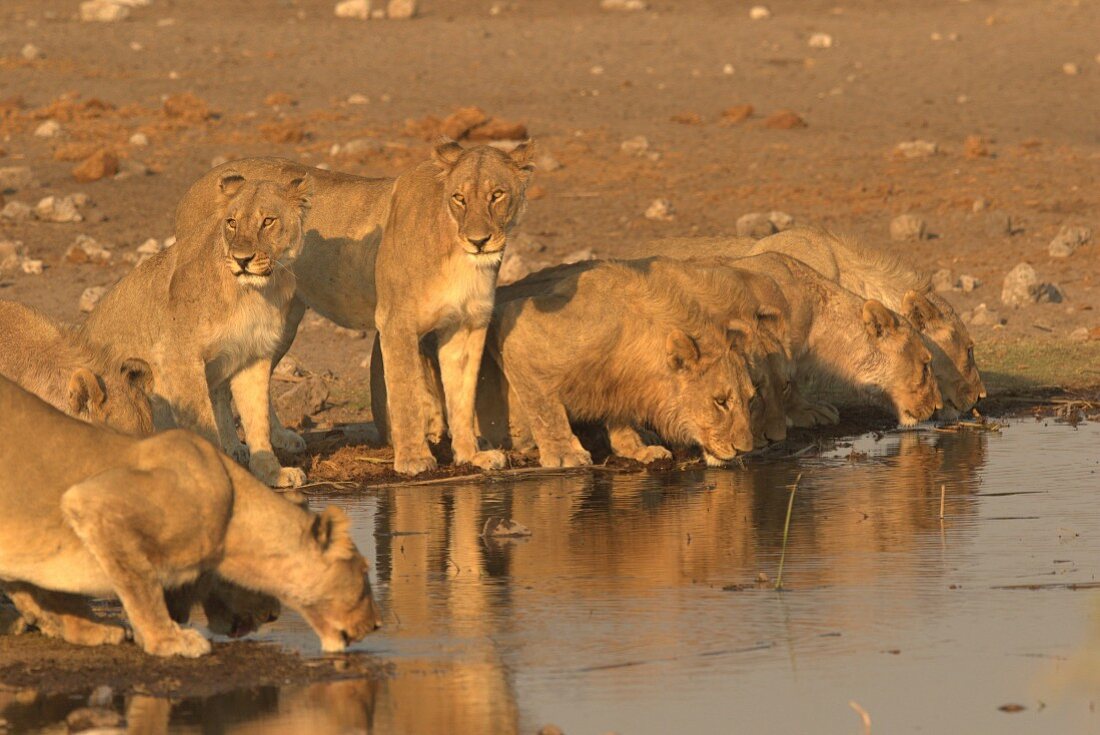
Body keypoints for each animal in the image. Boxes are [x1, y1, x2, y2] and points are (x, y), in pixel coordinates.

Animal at [0, 376, 382, 655]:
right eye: (363, 573)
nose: (377, 626)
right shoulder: (93, 501)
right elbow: (140, 586)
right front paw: (168, 640)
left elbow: (42, 591)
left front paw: (82, 628)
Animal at [82, 174, 310, 488]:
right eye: (231, 222)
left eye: (268, 221)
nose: (242, 259)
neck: (253, 295)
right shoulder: (178, 358)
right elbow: (204, 424)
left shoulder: (254, 356)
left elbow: (257, 419)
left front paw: (272, 473)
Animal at [171, 141, 536, 477]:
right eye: (459, 198)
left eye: (497, 195)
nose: (478, 241)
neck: (460, 255)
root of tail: (194, 186)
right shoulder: (396, 322)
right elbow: (405, 393)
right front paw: (414, 459)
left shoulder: (468, 324)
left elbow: (462, 394)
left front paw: (471, 455)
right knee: (219, 384)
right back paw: (232, 448)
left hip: (281, 323)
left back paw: (280, 439)